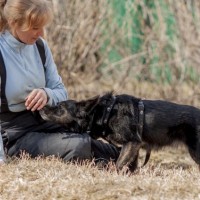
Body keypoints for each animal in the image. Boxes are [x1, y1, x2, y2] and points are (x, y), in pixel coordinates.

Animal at [38, 93, 200, 171]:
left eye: (60, 107)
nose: (41, 107)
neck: (105, 113)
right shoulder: (134, 147)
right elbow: (130, 165)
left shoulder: (132, 143)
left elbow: (119, 164)